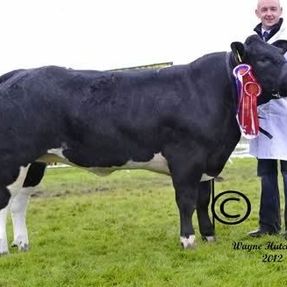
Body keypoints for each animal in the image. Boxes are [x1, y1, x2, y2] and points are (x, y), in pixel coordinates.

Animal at [0, 35, 287, 254]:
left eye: (281, 56)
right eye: (264, 59)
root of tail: (19, 73)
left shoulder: (208, 160)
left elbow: (203, 200)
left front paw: (209, 237)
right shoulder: (186, 158)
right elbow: (186, 200)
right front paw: (188, 240)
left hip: (36, 161)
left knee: (20, 201)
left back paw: (22, 243)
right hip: (12, 159)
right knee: (4, 201)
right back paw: (4, 249)